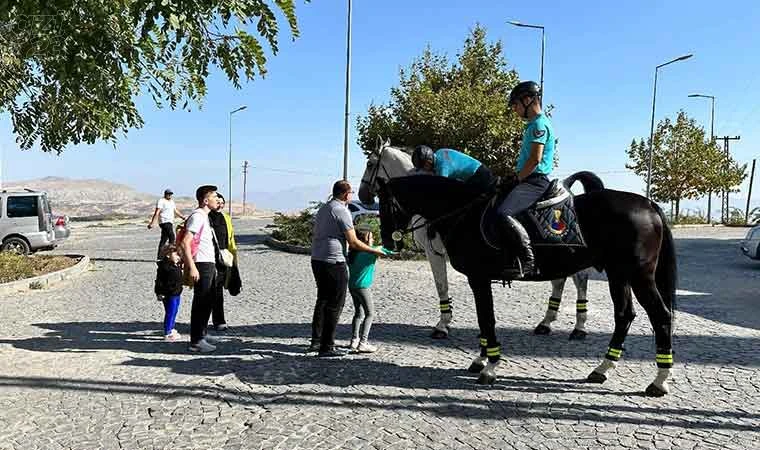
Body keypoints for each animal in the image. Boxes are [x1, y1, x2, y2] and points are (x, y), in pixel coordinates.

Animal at [360, 139, 592, 340]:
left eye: (370, 164)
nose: (363, 195)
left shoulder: (434, 252)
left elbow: (441, 286)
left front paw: (443, 325)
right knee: (560, 280)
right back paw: (546, 323)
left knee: (580, 280)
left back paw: (579, 327)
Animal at [380, 172, 676, 398]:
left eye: (384, 203)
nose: (387, 241)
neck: (463, 214)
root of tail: (648, 205)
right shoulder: (478, 280)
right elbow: (483, 321)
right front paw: (481, 359)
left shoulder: (479, 278)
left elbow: (487, 319)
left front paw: (490, 367)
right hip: (618, 275)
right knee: (624, 315)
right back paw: (602, 369)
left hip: (639, 276)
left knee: (661, 316)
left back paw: (659, 380)